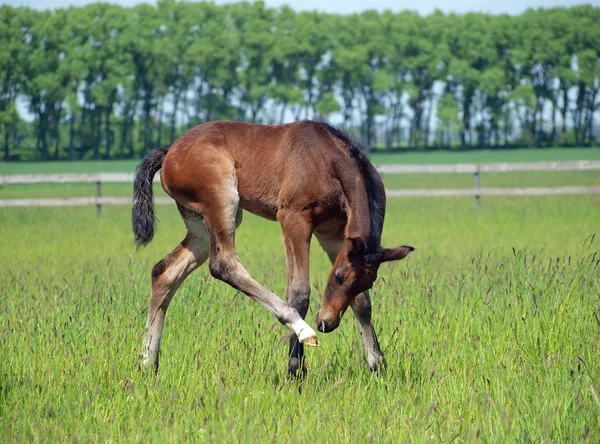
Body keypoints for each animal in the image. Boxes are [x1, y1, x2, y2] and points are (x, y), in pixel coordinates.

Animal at [132, 119, 412, 376]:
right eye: (340, 277)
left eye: (368, 281)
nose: (327, 323)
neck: (327, 160)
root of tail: (170, 152)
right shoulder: (294, 218)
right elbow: (299, 294)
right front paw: (296, 369)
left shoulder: (333, 232)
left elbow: (362, 302)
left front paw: (377, 365)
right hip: (222, 198)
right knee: (222, 264)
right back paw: (302, 328)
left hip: (198, 224)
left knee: (164, 272)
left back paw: (147, 363)